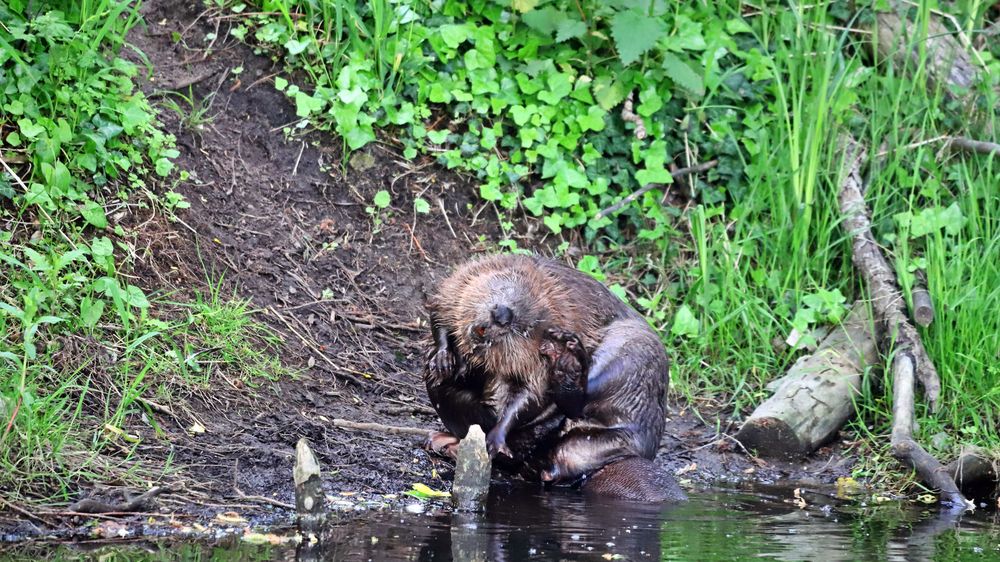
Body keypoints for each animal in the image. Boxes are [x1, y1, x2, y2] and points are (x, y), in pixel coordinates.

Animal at [422, 254, 688, 498]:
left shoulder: (541, 355)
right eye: (504, 290)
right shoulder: (463, 280)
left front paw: (496, 439)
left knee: (565, 430)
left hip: (628, 355)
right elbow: (438, 310)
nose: (502, 315)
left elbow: (531, 393)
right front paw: (443, 361)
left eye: (525, 328)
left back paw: (569, 359)